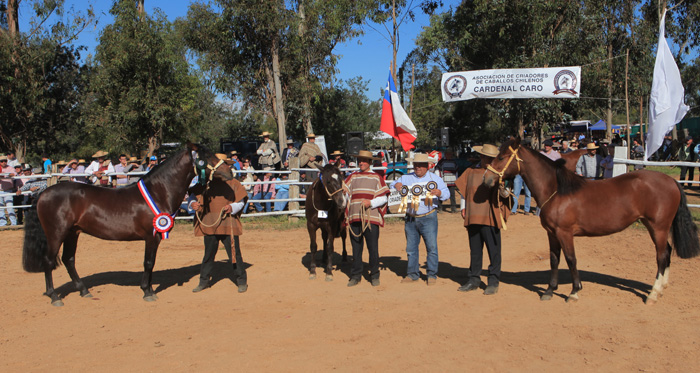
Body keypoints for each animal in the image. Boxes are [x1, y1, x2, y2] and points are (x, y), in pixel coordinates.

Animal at [22, 142, 232, 306]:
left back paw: (84, 290)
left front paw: (150, 289)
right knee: (49, 261)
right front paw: (147, 292)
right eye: (206, 156)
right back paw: (55, 297)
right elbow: (148, 262)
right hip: (56, 234)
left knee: (69, 260)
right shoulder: (151, 237)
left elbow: (152, 263)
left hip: (73, 233)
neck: (158, 191)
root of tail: (43, 193)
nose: (229, 171)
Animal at [484, 137, 696, 302]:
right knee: (667, 252)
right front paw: (550, 290)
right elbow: (554, 260)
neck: (557, 190)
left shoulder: (565, 233)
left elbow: (571, 259)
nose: (487, 179)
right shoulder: (552, 234)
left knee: (661, 256)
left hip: (658, 227)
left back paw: (653, 294)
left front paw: (574, 292)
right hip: (656, 227)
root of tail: (672, 181)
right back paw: (662, 288)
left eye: (501, 157)